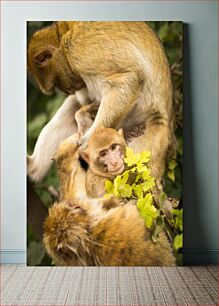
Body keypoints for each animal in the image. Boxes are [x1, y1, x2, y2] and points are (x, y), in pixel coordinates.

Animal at [27, 20, 175, 189]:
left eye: (55, 82)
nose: (70, 88)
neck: (62, 35)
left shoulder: (79, 48)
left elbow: (126, 80)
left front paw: (85, 144)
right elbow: (83, 101)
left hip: (152, 142)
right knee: (73, 106)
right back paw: (33, 168)